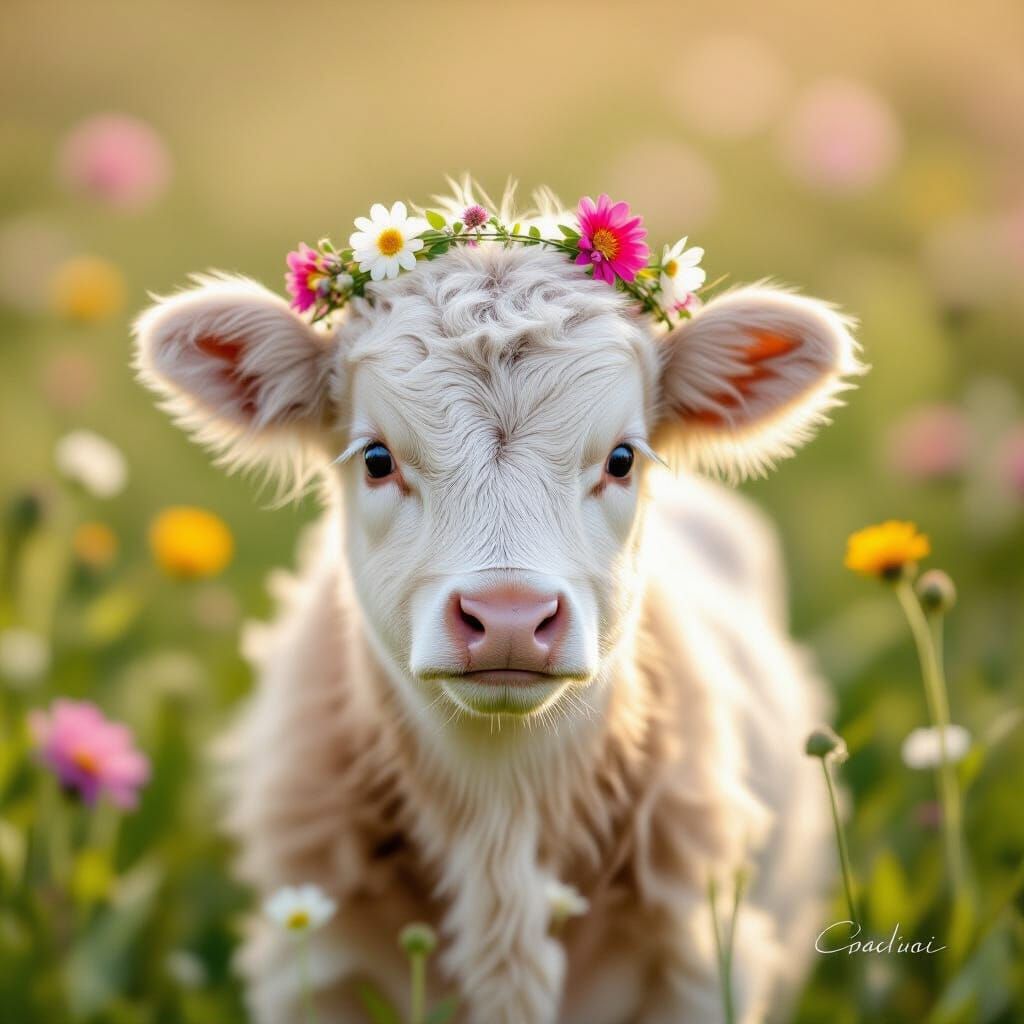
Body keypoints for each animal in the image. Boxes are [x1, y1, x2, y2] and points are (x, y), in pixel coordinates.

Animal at [134, 189, 863, 1024]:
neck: (500, 824)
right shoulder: (319, 972)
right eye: (376, 458)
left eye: (622, 458)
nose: (509, 617)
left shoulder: (698, 970)